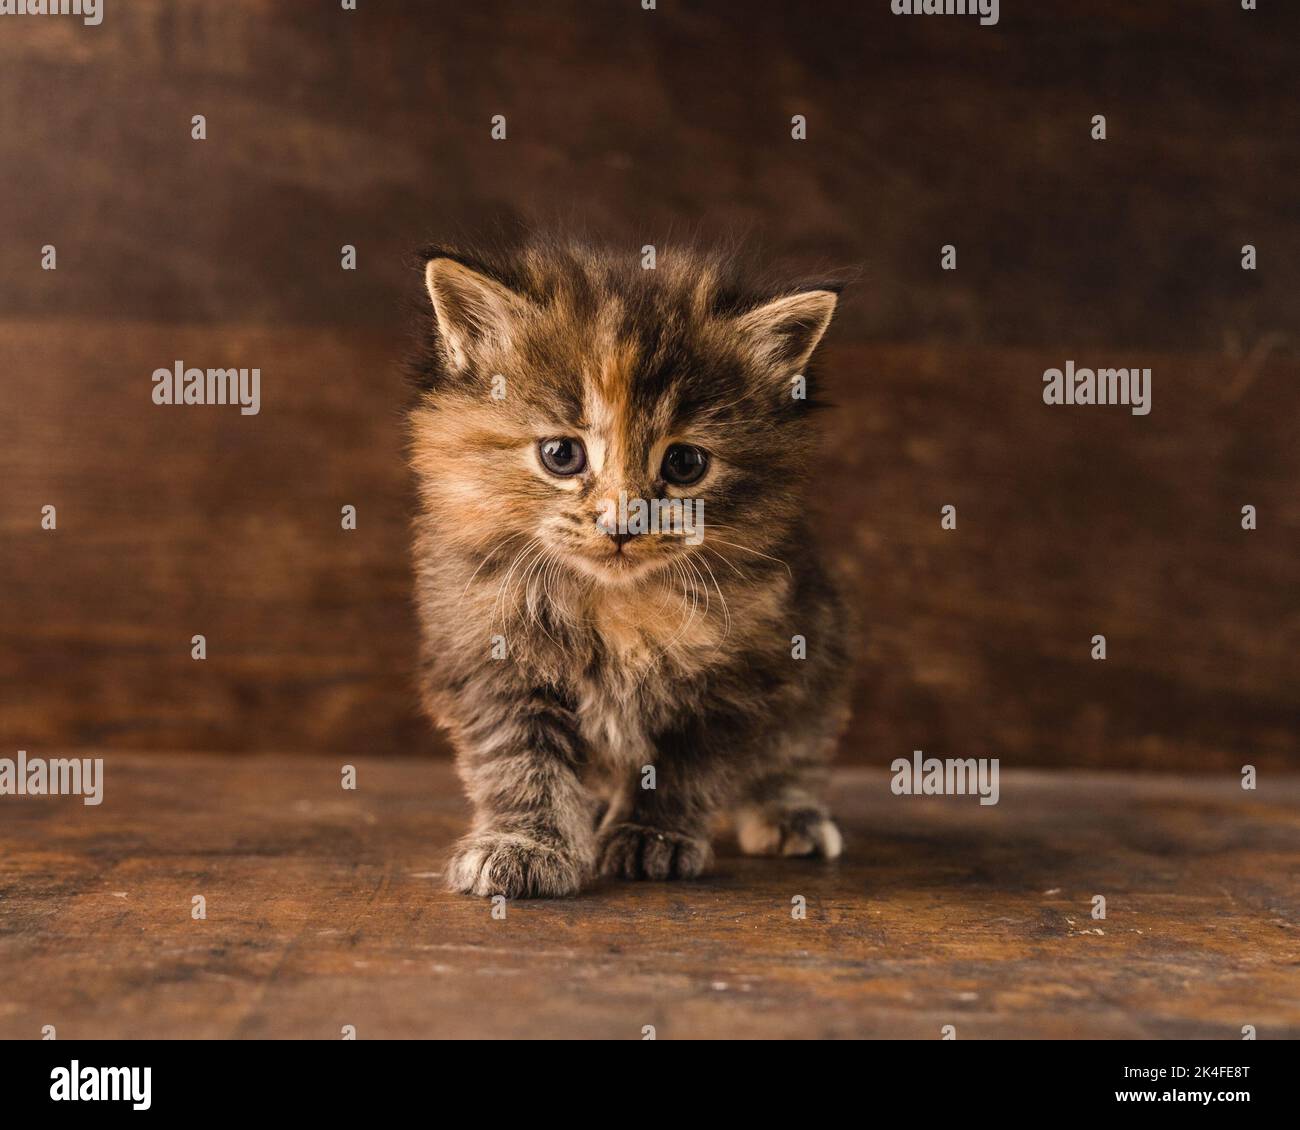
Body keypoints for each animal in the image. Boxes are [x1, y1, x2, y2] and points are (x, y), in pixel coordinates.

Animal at [408, 237, 852, 899]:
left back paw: (788, 812)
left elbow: (684, 769)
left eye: (686, 463)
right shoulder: (489, 655)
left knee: (793, 748)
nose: (622, 524)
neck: (613, 600)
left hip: (817, 651)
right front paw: (524, 844)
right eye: (561, 454)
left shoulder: (742, 667)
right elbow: (521, 763)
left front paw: (652, 837)